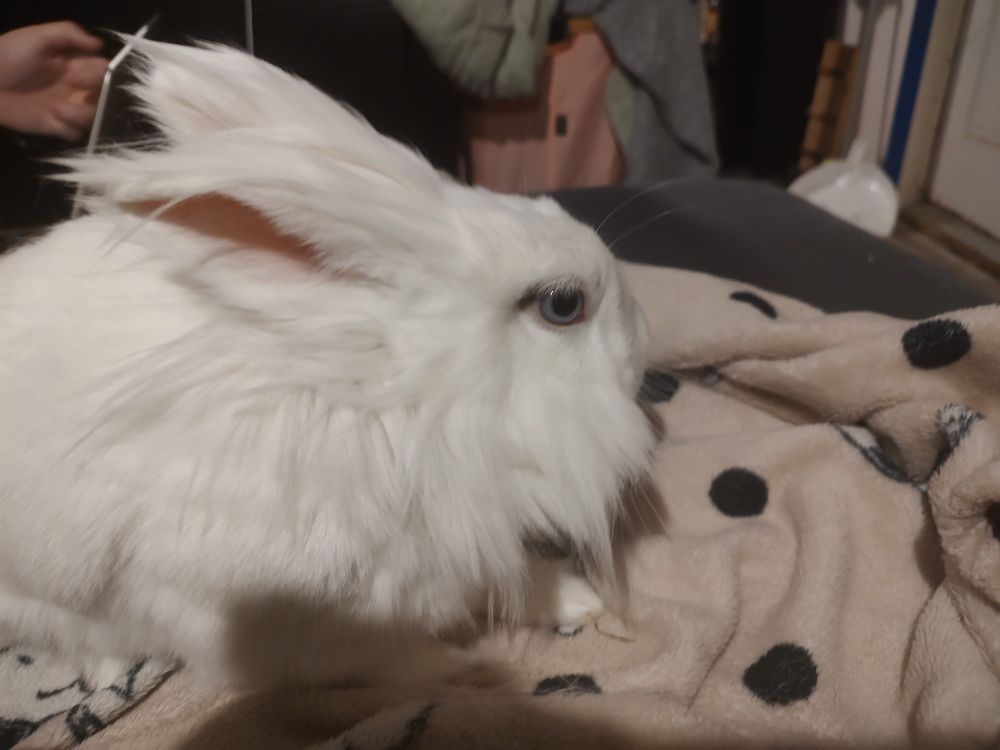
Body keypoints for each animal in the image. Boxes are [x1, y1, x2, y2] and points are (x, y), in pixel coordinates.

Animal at [0, 39, 653, 687]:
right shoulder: (282, 626)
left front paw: (575, 600)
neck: (396, 407)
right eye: (563, 304)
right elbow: (389, 658)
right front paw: (465, 672)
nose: (643, 350)